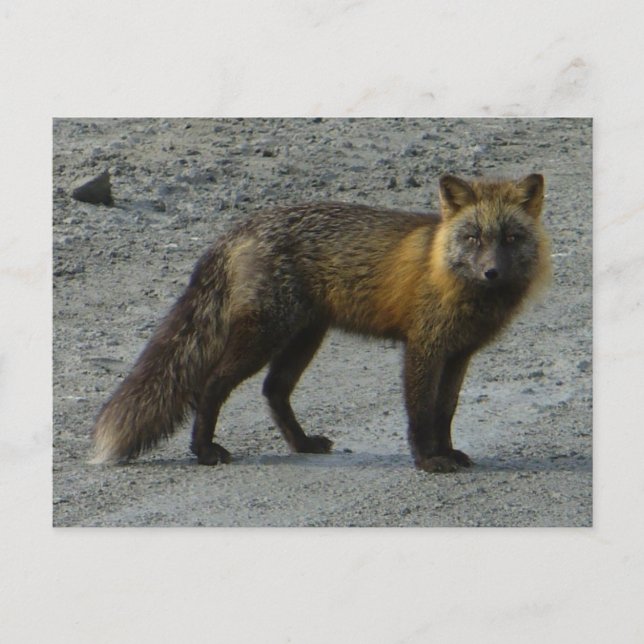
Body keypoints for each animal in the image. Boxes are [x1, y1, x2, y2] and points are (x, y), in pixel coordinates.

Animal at [91, 173, 550, 472]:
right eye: (473, 238)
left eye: (511, 238)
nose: (491, 272)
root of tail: (241, 227)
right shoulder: (423, 348)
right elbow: (420, 411)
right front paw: (427, 460)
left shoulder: (459, 354)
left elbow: (445, 411)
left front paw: (447, 452)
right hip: (266, 335)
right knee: (212, 385)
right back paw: (204, 451)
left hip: (304, 336)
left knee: (273, 389)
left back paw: (302, 444)